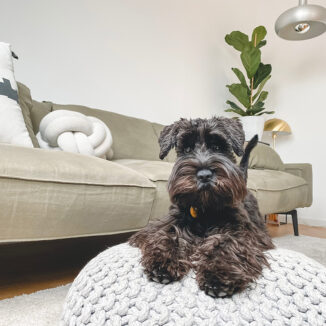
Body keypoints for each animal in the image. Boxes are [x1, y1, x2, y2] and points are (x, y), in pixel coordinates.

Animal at [129, 117, 274, 298]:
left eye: (218, 147)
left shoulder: (243, 232)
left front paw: (219, 274)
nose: (204, 175)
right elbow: (169, 235)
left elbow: (226, 243)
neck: (206, 208)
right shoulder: (166, 224)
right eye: (187, 149)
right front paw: (162, 261)